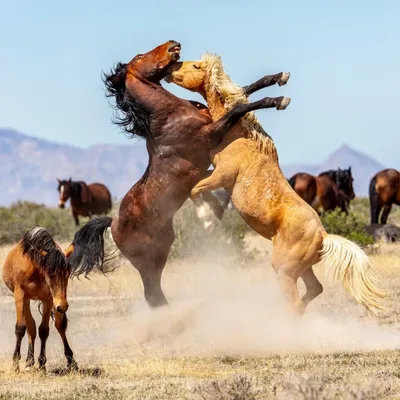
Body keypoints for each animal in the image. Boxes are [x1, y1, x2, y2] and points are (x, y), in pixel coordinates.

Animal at [1, 228, 76, 372]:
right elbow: (20, 328)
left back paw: (71, 361)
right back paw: (29, 361)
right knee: (30, 327)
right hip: (26, 300)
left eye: (67, 274)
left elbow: (44, 330)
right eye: (51, 275)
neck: (35, 267)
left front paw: (42, 364)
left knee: (59, 326)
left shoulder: (48, 299)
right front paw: (15, 364)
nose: (63, 306)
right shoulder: (20, 296)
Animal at [65, 40, 290, 308]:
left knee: (155, 291)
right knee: (151, 293)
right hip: (145, 259)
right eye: (139, 56)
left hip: (162, 249)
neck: (169, 116)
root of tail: (113, 223)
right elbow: (240, 107)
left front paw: (279, 77)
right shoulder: (211, 132)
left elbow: (243, 91)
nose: (173, 44)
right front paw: (278, 100)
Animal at [165, 54, 384, 316]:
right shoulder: (215, 172)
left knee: (295, 302)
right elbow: (196, 184)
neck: (241, 137)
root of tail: (323, 236)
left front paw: (207, 218)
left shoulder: (223, 175)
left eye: (196, 66)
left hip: (284, 271)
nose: (170, 68)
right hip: (303, 268)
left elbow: (195, 188)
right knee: (314, 290)